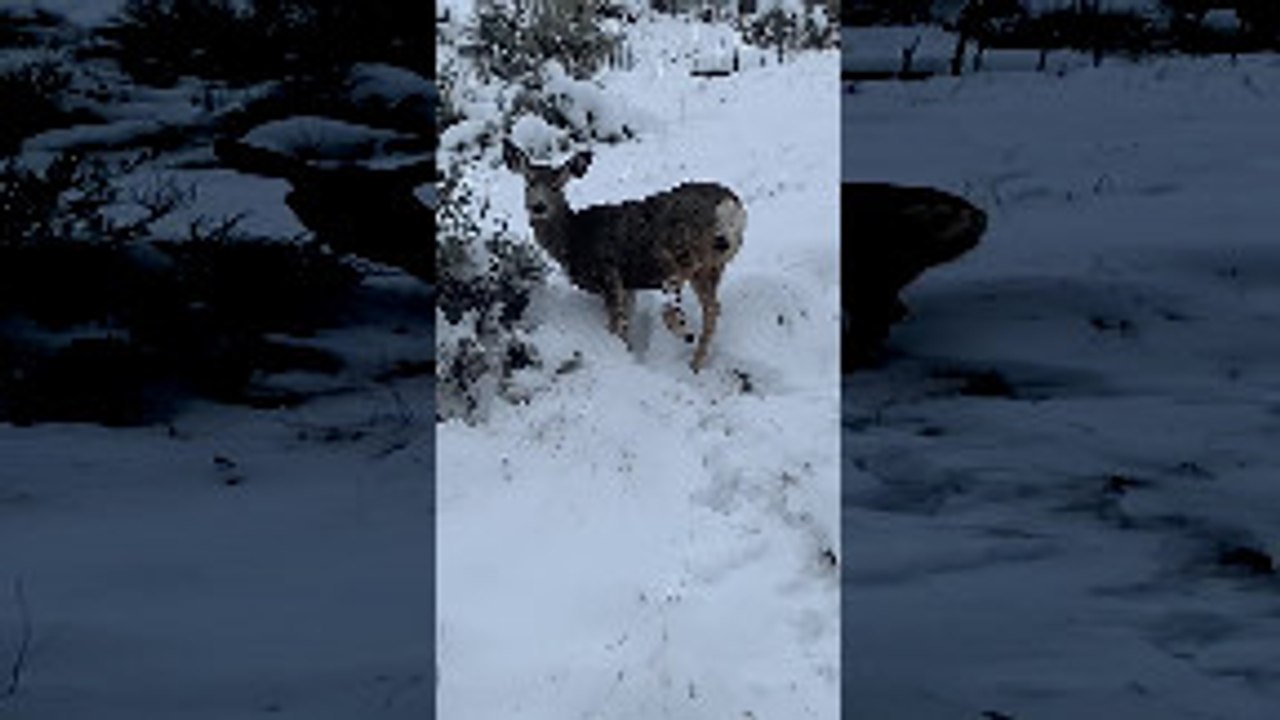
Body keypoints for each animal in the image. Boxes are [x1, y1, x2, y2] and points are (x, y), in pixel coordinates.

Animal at [502, 140, 746, 372]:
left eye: (557, 185)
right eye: (529, 182)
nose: (538, 206)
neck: (572, 240)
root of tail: (730, 205)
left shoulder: (609, 274)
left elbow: (616, 324)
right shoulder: (628, 287)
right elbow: (626, 324)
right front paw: (628, 354)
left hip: (688, 251)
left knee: (688, 290)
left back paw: (681, 328)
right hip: (715, 264)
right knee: (713, 308)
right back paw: (695, 363)